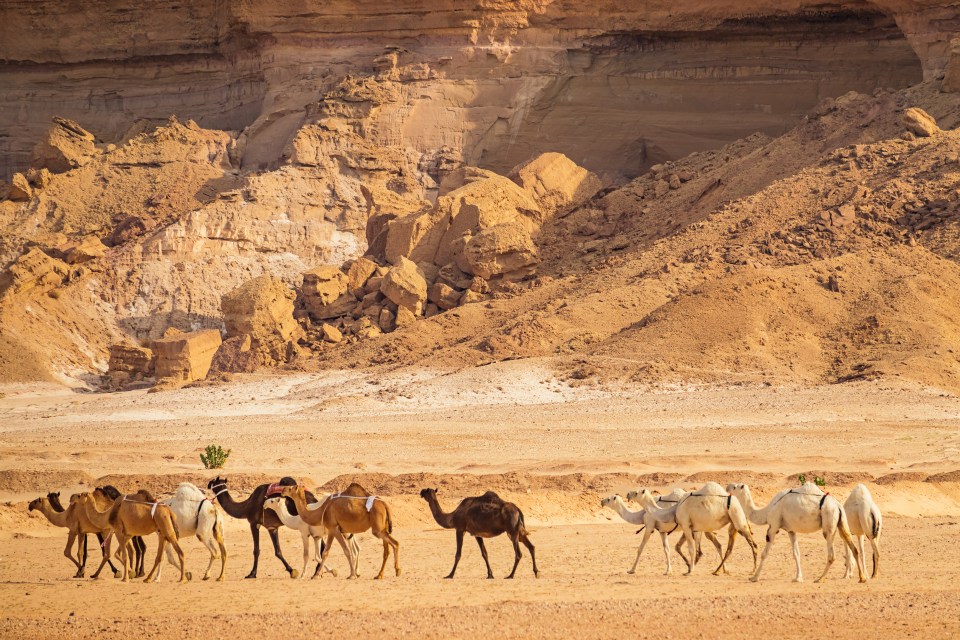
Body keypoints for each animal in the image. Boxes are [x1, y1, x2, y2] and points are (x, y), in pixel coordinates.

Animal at [724, 482, 868, 584]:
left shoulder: (773, 526)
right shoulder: (791, 530)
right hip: (842, 522)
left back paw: (819, 578)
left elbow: (765, 554)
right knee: (854, 548)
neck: (767, 510)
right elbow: (796, 554)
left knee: (832, 555)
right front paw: (798, 578)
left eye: (735, 486)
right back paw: (862, 578)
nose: (727, 486)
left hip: (828, 522)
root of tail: (838, 505)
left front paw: (754, 577)